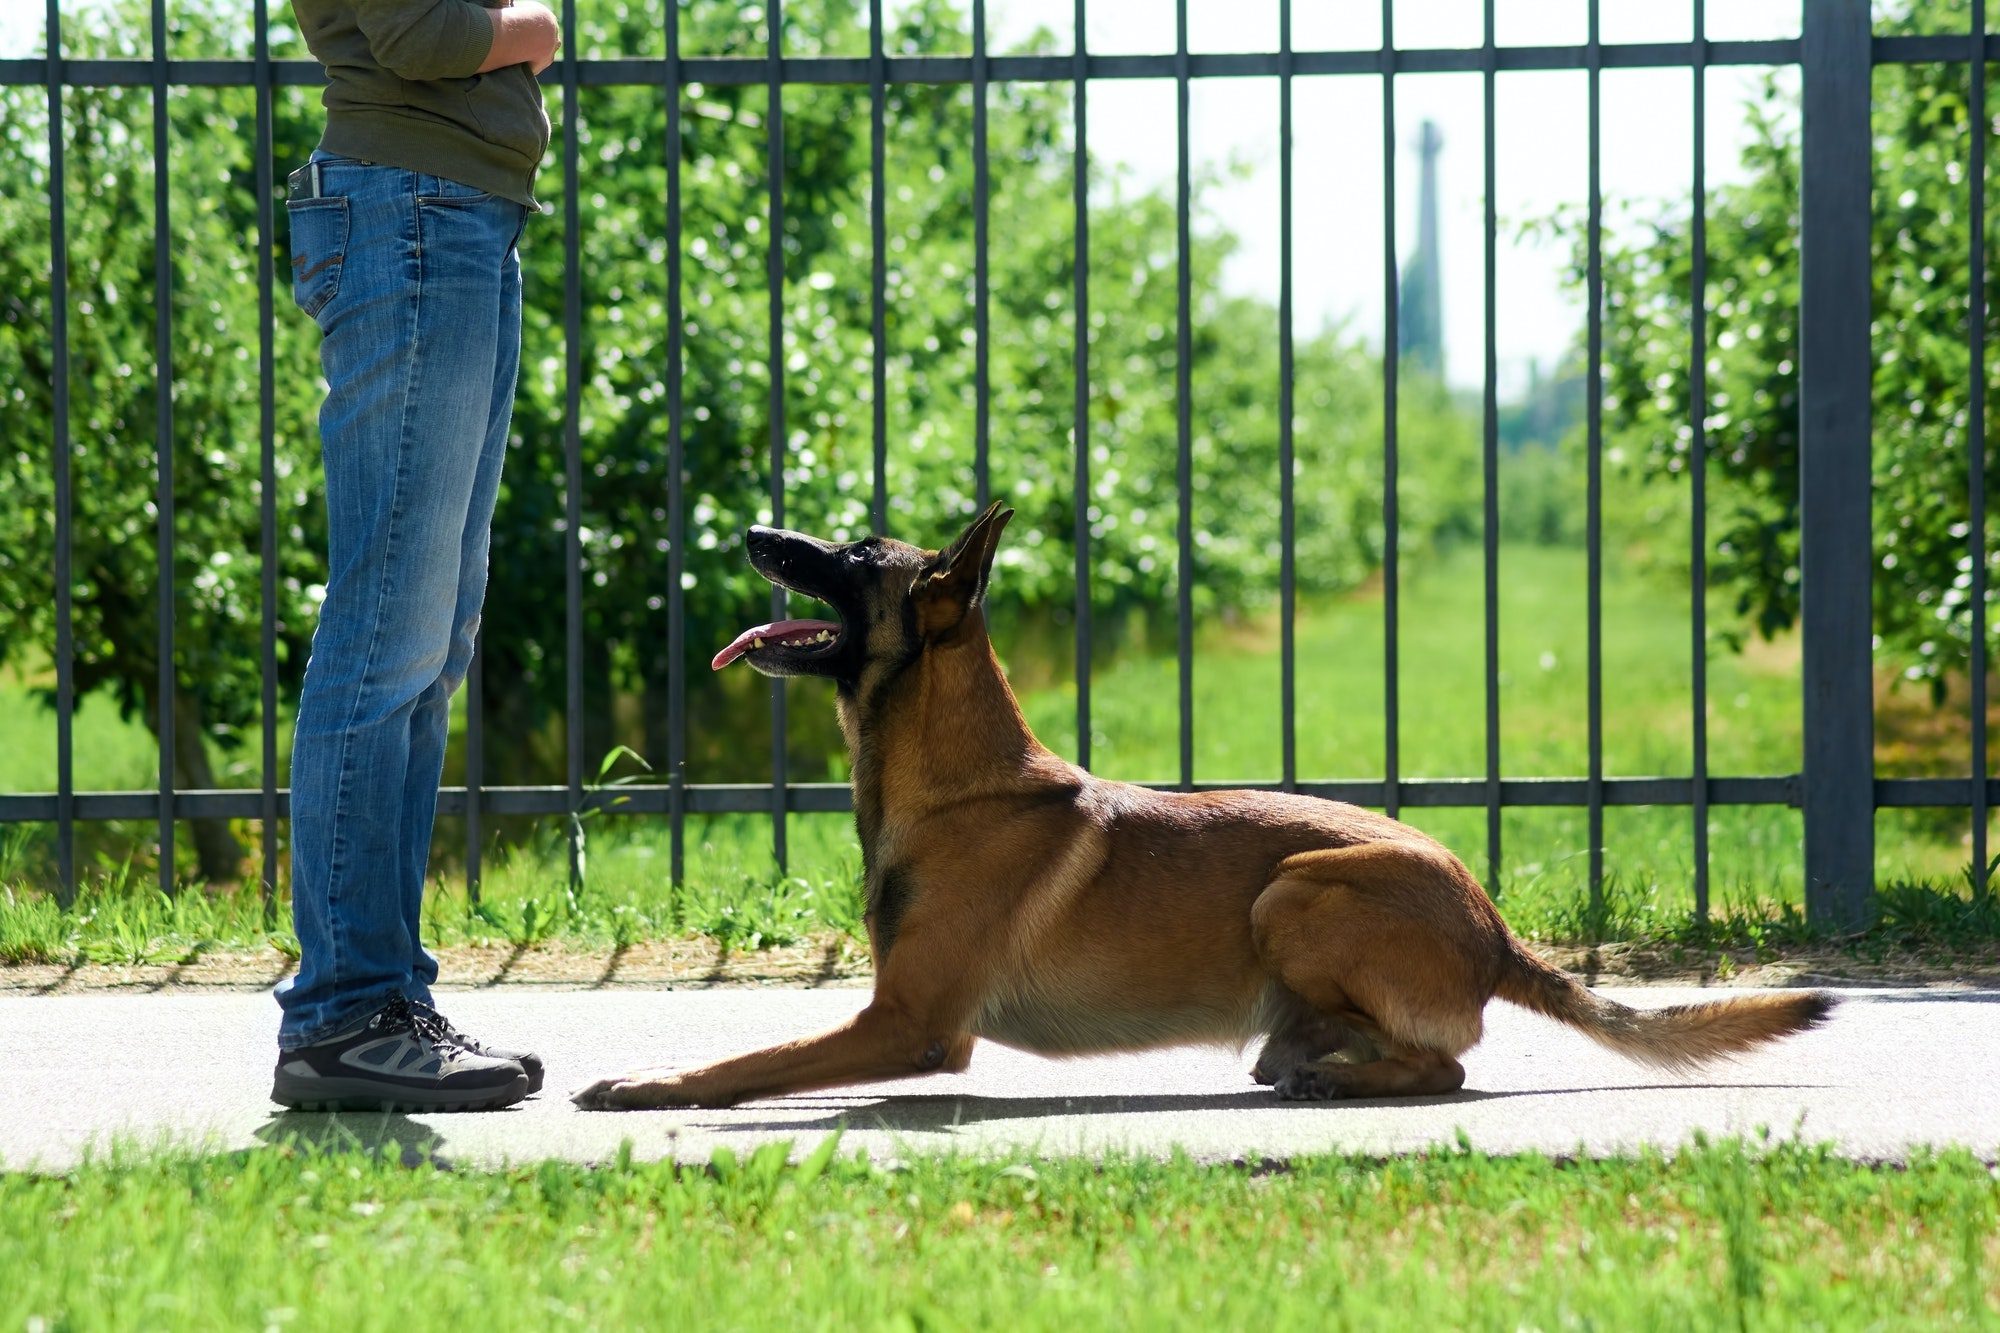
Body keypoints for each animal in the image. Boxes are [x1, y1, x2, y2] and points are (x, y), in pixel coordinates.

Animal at [572, 504, 1832, 1104]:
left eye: (849, 553)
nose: (750, 532)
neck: (957, 783)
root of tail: (1490, 926)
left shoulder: (911, 1024)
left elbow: (753, 1059)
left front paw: (649, 1083)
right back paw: (1316, 1060)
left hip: (1295, 891)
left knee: (1450, 1065)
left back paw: (1339, 1077)